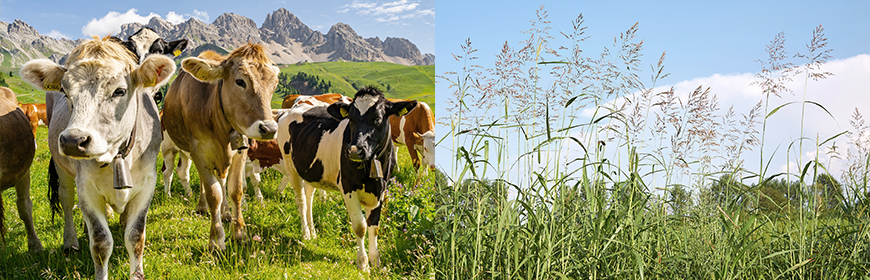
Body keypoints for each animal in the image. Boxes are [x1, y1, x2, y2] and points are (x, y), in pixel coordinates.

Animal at [20, 37, 175, 280]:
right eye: (65, 91)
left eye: (120, 91)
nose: (73, 140)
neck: (117, 156)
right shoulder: (86, 188)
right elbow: (101, 242)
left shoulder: (147, 183)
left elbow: (135, 236)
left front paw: (136, 274)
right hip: (62, 167)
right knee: (66, 200)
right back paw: (71, 241)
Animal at [164, 43, 282, 249]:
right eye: (240, 81)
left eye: (274, 84)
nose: (269, 129)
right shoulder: (199, 151)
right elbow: (214, 194)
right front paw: (216, 240)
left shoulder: (240, 151)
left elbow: (235, 190)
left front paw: (239, 232)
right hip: (172, 148)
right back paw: (200, 205)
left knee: (221, 181)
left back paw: (225, 213)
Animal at [278, 86, 418, 272]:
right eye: (351, 118)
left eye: (378, 118)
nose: (354, 151)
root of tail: (291, 110)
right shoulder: (348, 187)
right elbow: (360, 226)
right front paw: (363, 264)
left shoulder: (381, 190)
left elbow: (374, 226)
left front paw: (376, 262)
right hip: (291, 167)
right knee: (301, 201)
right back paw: (306, 233)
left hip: (311, 171)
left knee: (309, 198)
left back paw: (313, 232)